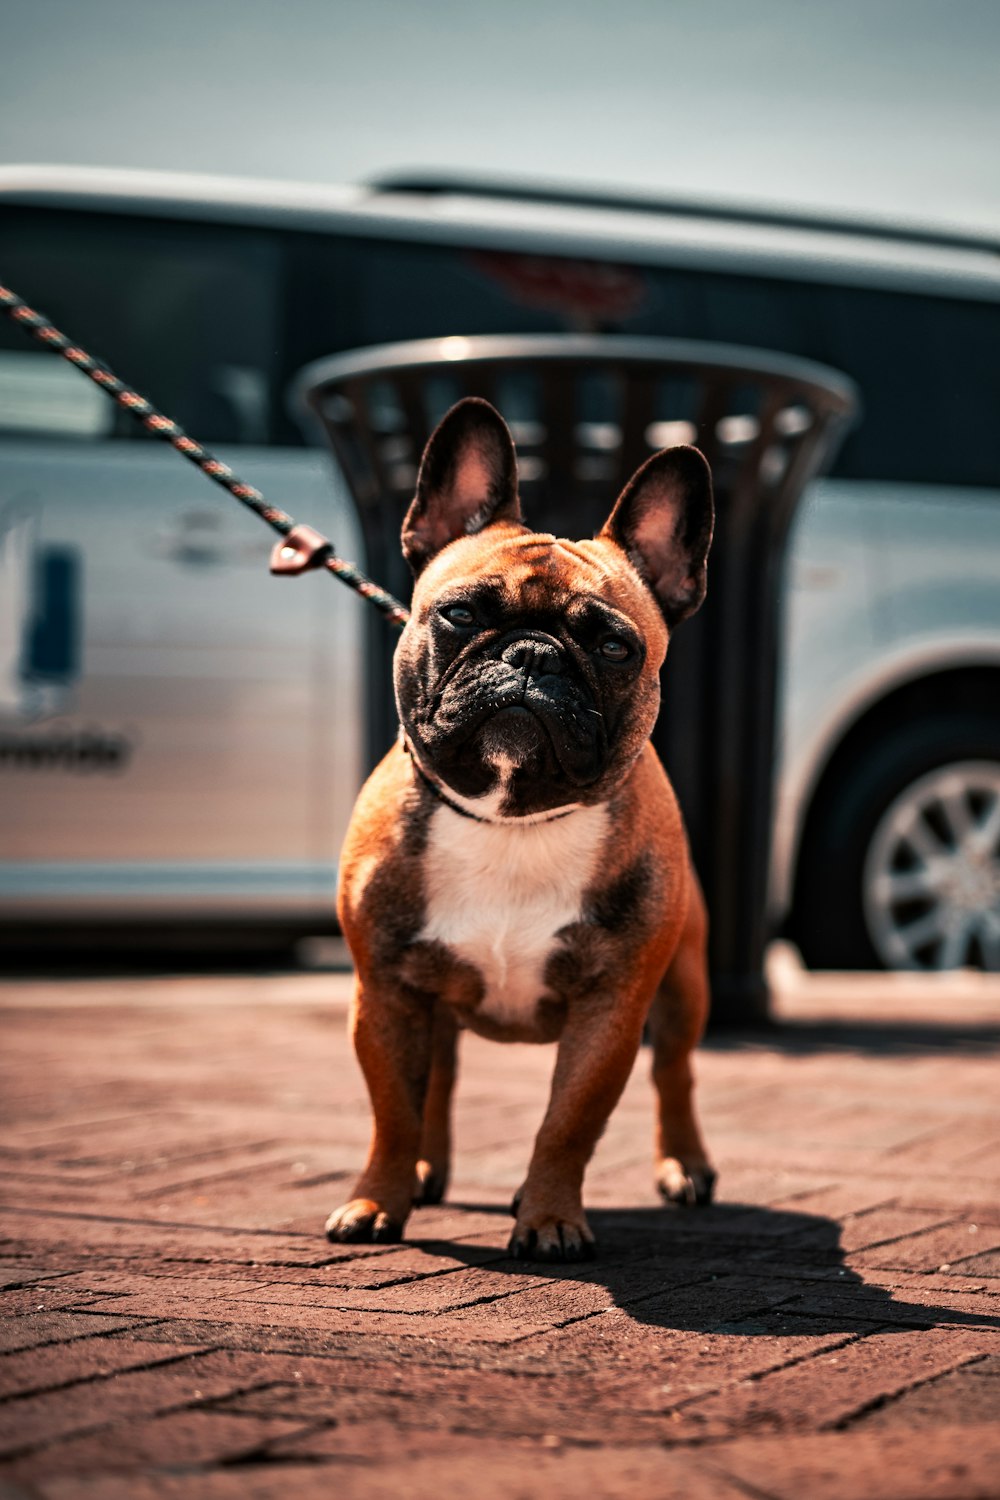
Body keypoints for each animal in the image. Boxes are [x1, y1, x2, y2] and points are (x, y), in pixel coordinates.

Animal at [329, 393, 719, 1260]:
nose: (533, 655)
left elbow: (567, 1122)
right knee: (439, 1080)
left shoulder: (611, 1008)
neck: (511, 819)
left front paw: (548, 1218)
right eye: (459, 613)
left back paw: (684, 1165)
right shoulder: (386, 994)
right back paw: (423, 1173)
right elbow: (391, 1110)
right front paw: (376, 1201)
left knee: (675, 1072)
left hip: (684, 982)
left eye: (613, 644)